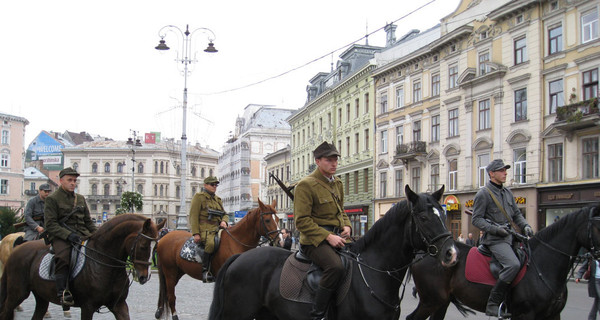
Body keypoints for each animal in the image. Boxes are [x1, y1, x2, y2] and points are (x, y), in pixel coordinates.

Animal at [0, 212, 164, 320]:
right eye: (143, 246)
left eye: (156, 247)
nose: (144, 277)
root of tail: (17, 249)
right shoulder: (87, 306)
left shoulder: (119, 305)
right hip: (18, 293)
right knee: (6, 310)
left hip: (41, 296)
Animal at [209, 185, 458, 320]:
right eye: (423, 218)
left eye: (443, 214)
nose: (451, 253)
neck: (374, 273)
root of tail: (239, 257)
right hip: (237, 312)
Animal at [406, 204, 600, 318]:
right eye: (598, 225)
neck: (543, 266)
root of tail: (424, 253)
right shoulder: (525, 314)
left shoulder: (552, 315)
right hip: (431, 300)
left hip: (441, 301)